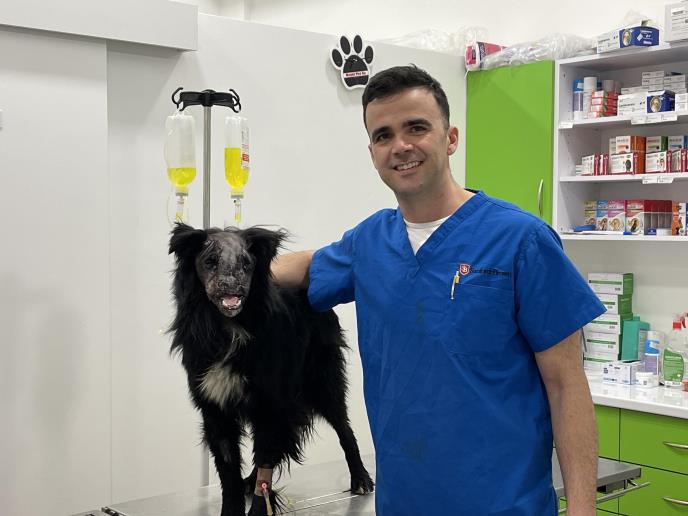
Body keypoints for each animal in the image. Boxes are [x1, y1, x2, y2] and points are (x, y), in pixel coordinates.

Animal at [168, 223, 374, 516]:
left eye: (247, 263)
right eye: (210, 262)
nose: (232, 289)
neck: (229, 329)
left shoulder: (271, 402)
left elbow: (266, 461)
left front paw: (258, 509)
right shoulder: (216, 409)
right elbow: (229, 472)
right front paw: (233, 508)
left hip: (322, 382)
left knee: (344, 428)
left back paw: (360, 478)